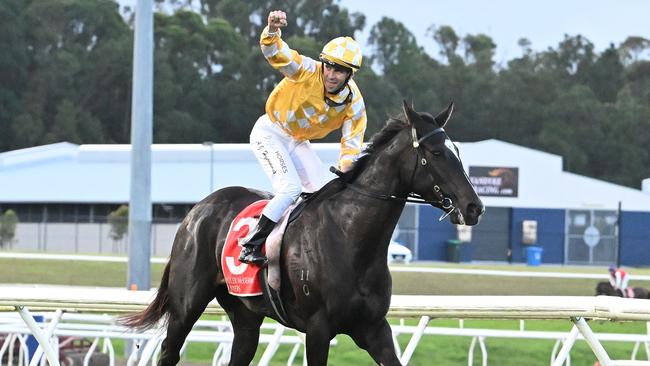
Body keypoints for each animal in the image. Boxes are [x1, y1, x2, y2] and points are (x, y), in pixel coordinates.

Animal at [121, 101, 484, 366]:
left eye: (458, 151)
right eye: (436, 153)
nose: (474, 206)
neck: (352, 239)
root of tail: (196, 210)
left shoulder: (373, 327)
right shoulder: (318, 329)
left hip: (245, 316)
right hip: (187, 303)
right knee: (169, 351)